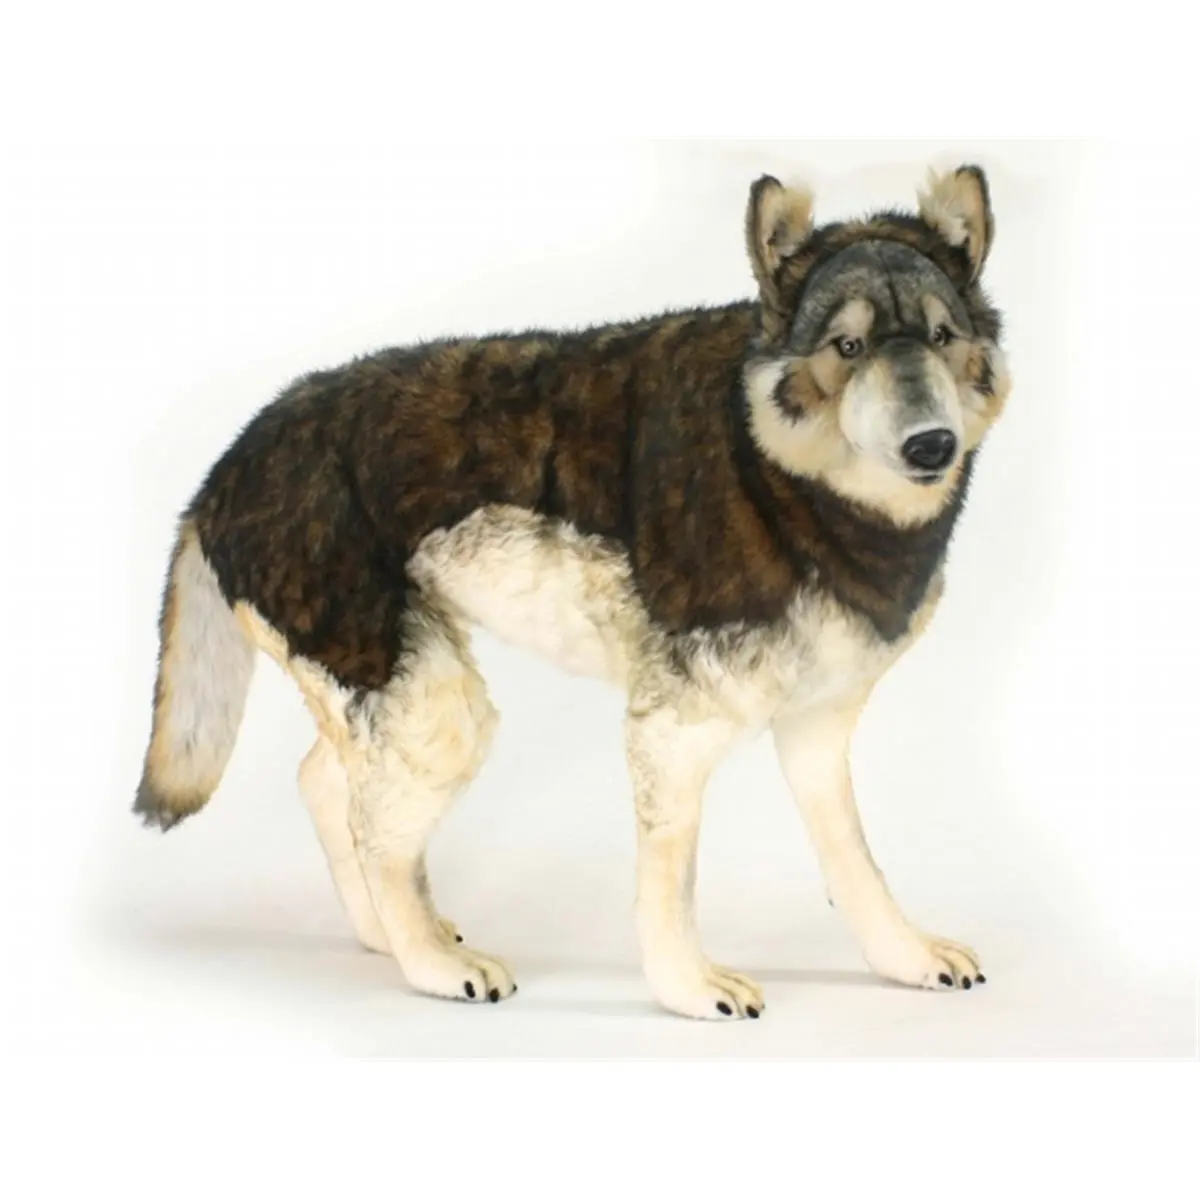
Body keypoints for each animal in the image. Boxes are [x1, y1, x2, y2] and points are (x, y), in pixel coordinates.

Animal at [135, 163, 1010, 1019]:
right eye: (847, 346)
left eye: (941, 337)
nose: (931, 445)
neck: (772, 468)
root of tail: (225, 466)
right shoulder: (672, 731)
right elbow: (671, 884)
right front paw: (690, 990)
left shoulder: (816, 728)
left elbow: (855, 861)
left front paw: (905, 958)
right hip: (439, 712)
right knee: (376, 831)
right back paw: (432, 964)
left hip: (404, 699)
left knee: (326, 784)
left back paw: (391, 936)